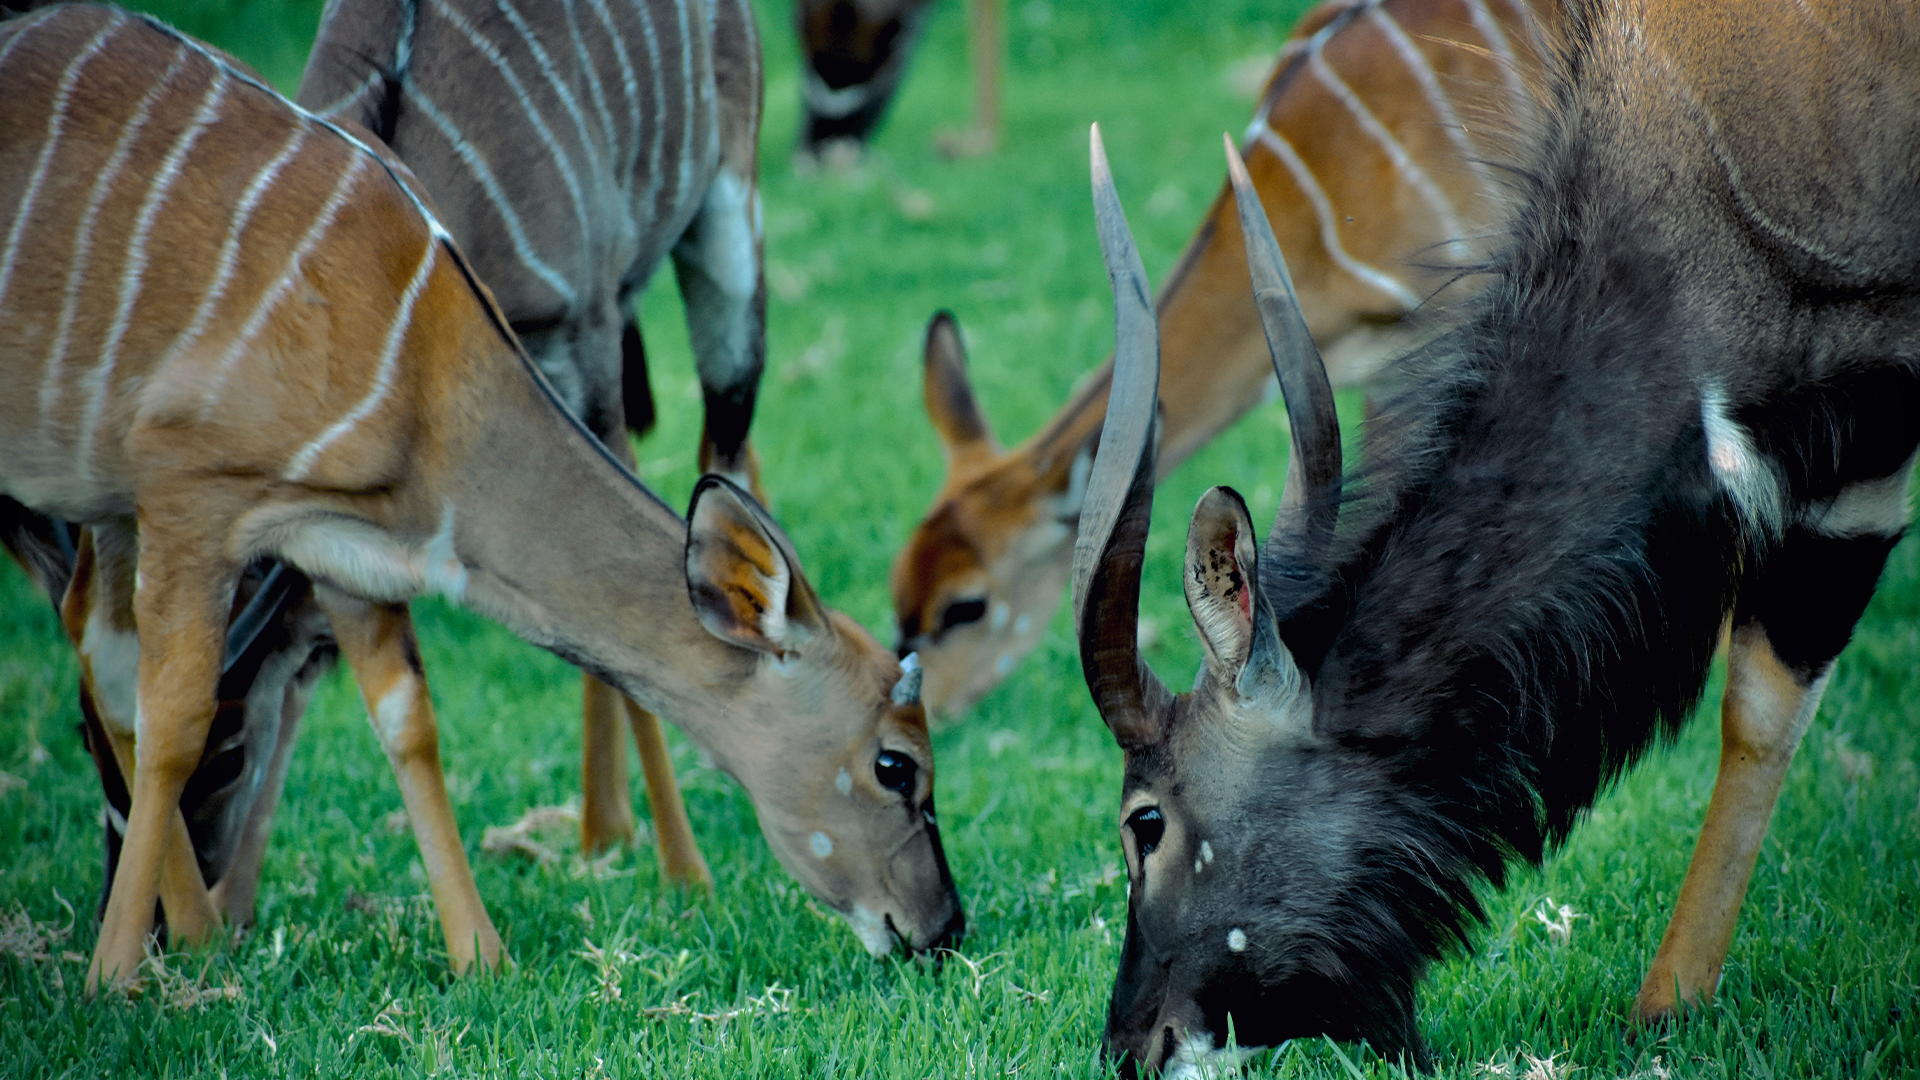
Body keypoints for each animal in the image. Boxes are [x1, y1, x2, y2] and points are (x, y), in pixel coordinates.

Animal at [0, 4, 960, 991]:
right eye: (897, 765)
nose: (943, 926)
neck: (419, 351)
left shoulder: (338, 538)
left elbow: (404, 718)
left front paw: (492, 951)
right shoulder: (194, 493)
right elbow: (182, 715)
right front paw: (125, 971)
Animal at [1075, 0, 1920, 1060]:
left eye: (1145, 821)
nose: (1131, 1040)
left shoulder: (1873, 408)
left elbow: (1765, 698)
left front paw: (1668, 1006)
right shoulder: (1854, 446)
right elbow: (1766, 696)